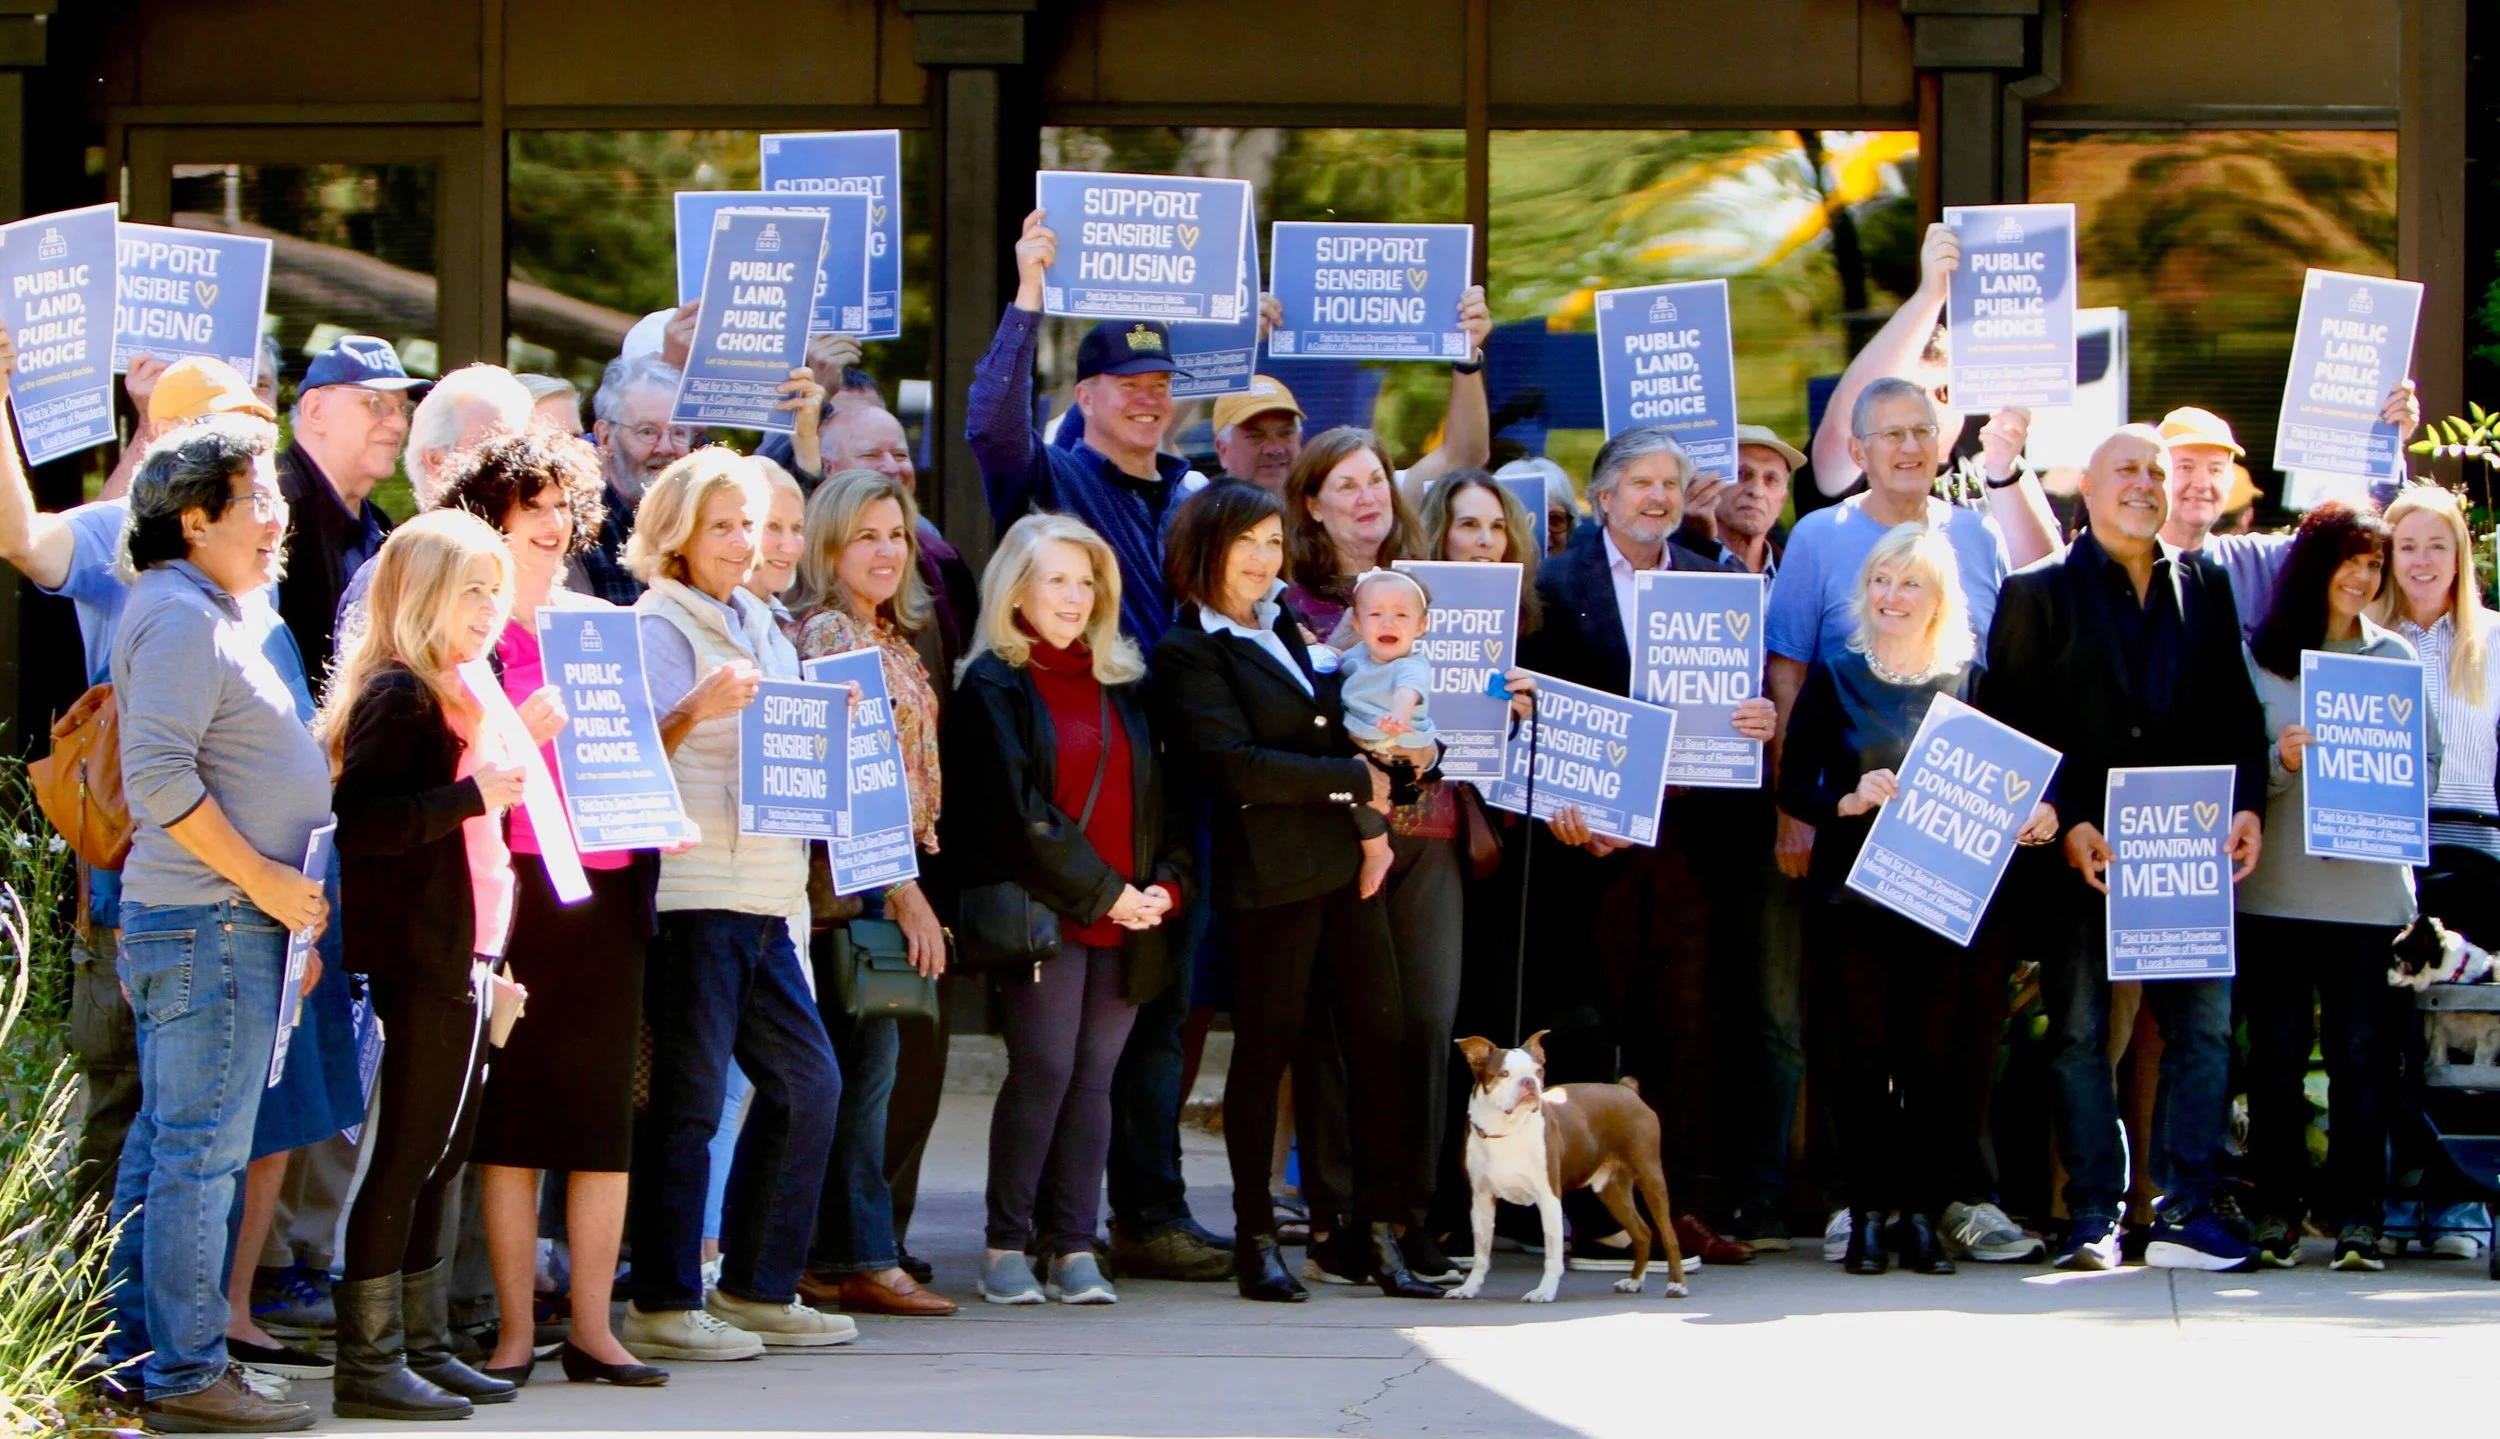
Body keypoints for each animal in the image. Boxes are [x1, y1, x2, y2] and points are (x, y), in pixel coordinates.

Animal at [1446, 1032, 1686, 1303]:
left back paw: (1676, 1285)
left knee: (1668, 1234)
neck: (1507, 1130)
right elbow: (1481, 1253)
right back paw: (1634, 1282)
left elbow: (1552, 1254)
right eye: (1504, 1074)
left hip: (1649, 1175)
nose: (1529, 1082)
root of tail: (1626, 1090)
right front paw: (1468, 1288)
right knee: (1643, 1233)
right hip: (1611, 1190)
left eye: (1538, 1071)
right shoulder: (1481, 1199)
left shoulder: (1549, 1198)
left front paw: (1544, 1291)